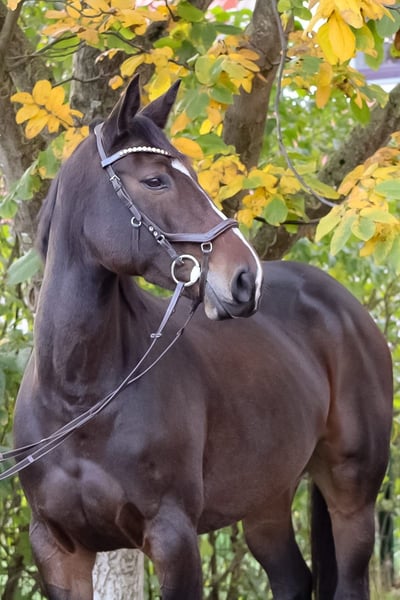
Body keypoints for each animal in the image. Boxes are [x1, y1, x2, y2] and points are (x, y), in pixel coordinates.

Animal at [13, 77, 392, 600]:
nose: (245, 278)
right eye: (155, 180)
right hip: (267, 497)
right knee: (292, 578)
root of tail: (346, 309)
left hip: (352, 496)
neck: (78, 397)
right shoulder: (57, 549)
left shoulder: (173, 537)